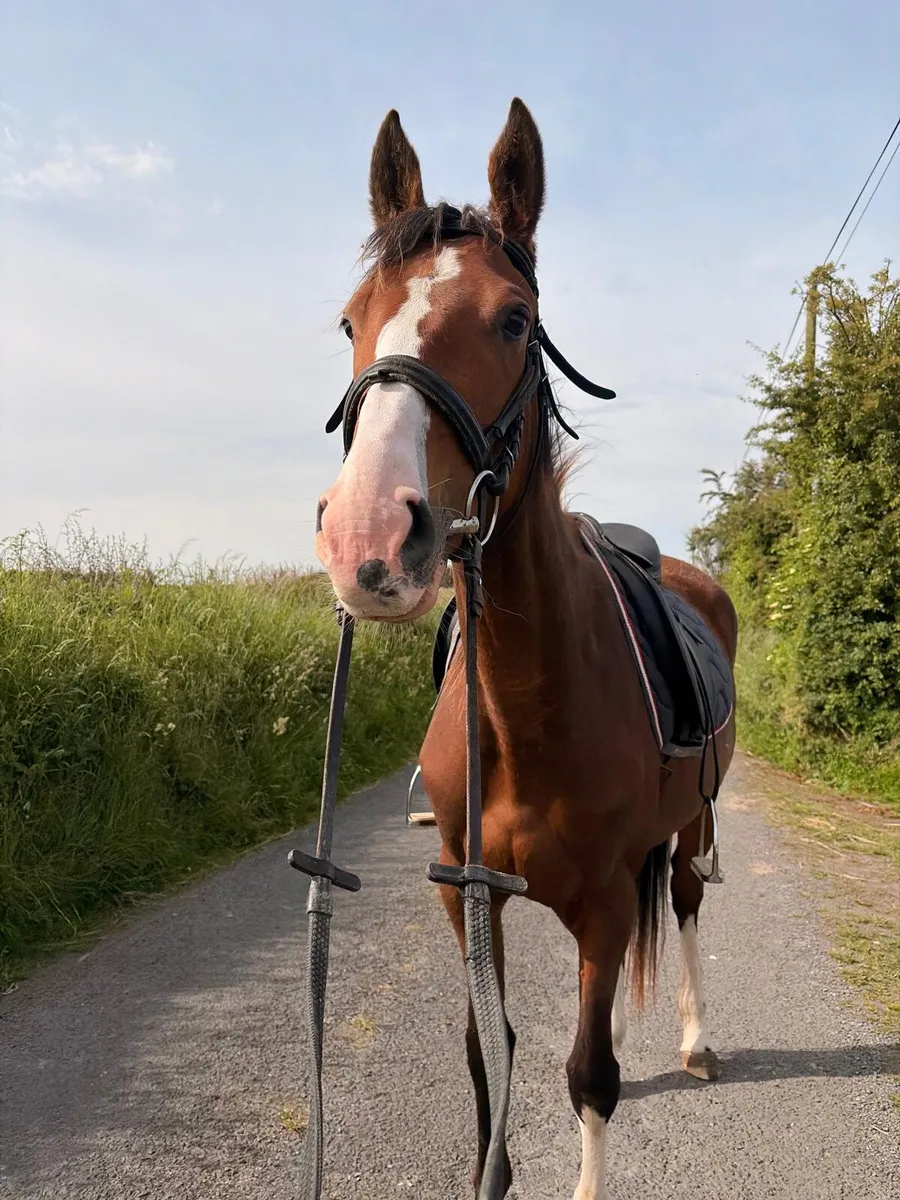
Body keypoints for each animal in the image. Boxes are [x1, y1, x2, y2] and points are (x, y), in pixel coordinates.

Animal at [315, 97, 738, 1200]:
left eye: (512, 319)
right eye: (350, 319)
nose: (369, 537)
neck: (525, 709)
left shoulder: (602, 907)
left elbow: (589, 1075)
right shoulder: (466, 899)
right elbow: (487, 1057)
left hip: (689, 833)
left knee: (684, 908)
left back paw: (696, 1039)